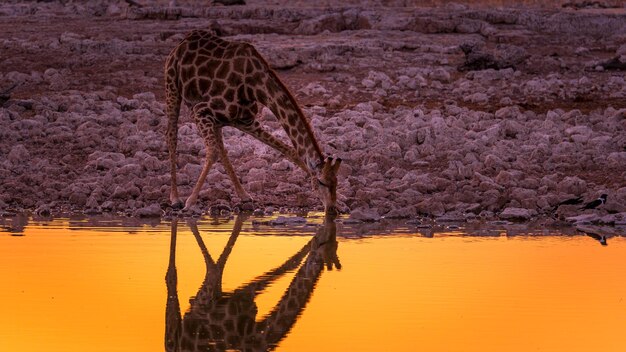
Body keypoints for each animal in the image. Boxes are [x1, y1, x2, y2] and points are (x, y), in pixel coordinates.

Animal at [163, 28, 342, 212]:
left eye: (336, 183)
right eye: (321, 182)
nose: (331, 209)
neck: (254, 86)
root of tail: (184, 40)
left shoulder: (245, 121)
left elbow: (291, 151)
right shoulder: (200, 110)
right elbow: (212, 153)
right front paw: (190, 201)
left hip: (217, 120)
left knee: (221, 147)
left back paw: (244, 195)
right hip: (172, 84)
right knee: (172, 135)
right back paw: (175, 198)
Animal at [163, 213, 338, 350]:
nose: (322, 236)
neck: (252, 335)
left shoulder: (246, 294)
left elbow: (288, 266)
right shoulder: (205, 301)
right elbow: (215, 268)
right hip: (173, 332)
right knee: (172, 280)